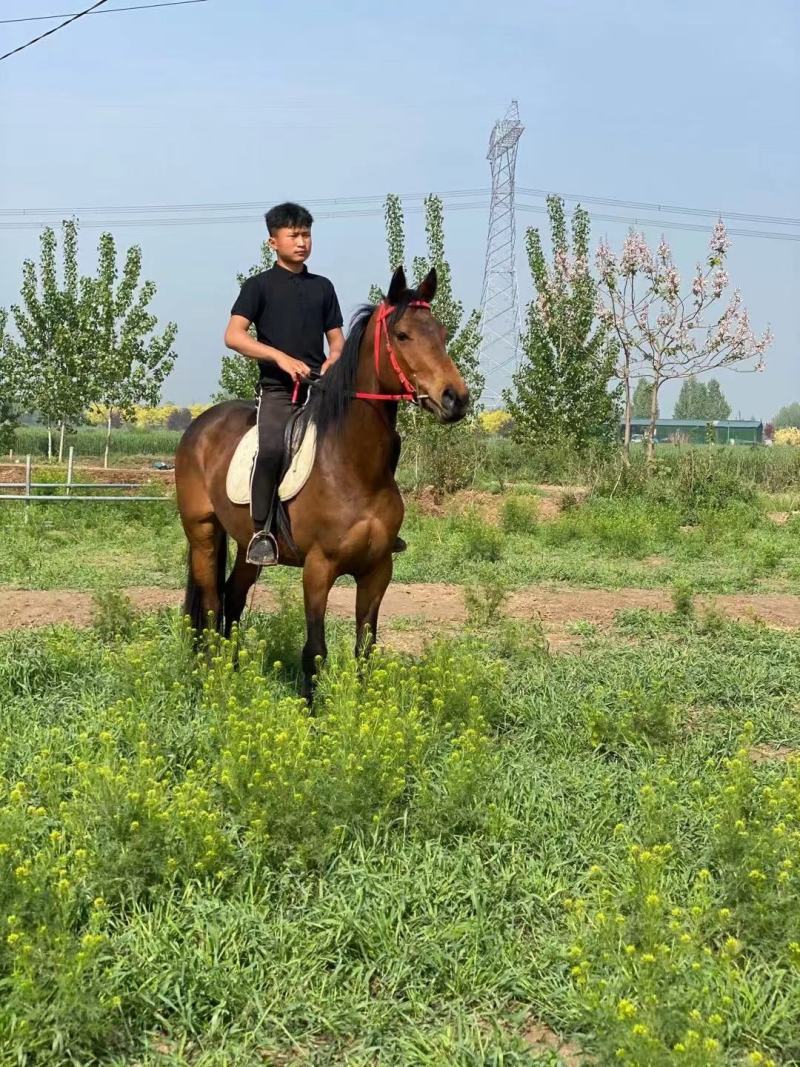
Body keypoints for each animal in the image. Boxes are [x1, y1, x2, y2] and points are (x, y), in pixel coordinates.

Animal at [175, 265, 469, 699]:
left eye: (443, 333)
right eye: (402, 335)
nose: (456, 399)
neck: (354, 467)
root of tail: (200, 425)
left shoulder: (378, 570)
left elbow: (366, 648)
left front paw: (360, 707)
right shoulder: (318, 568)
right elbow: (315, 651)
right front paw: (312, 712)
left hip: (248, 546)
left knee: (233, 598)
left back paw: (233, 672)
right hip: (203, 533)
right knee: (212, 604)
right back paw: (214, 680)